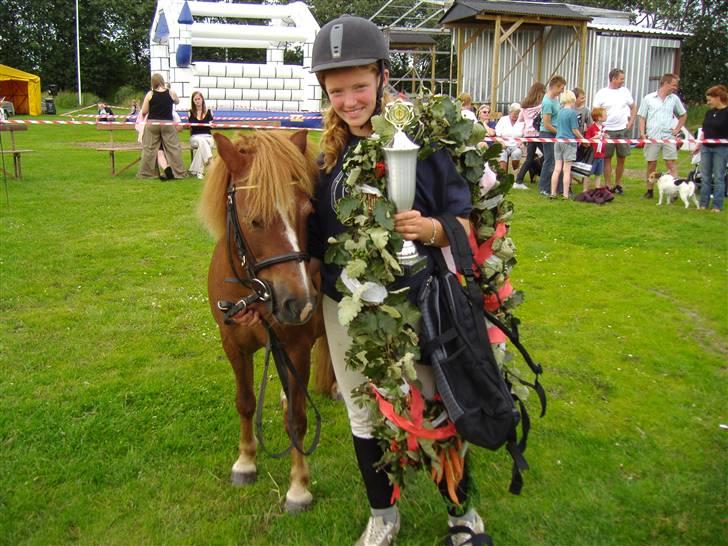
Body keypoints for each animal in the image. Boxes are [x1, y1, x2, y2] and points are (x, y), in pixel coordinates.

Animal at [200, 130, 334, 512]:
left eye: (307, 211)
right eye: (254, 219)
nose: (299, 302)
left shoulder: (297, 347)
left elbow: (298, 421)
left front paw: (299, 488)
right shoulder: (233, 344)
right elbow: (245, 402)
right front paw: (245, 462)